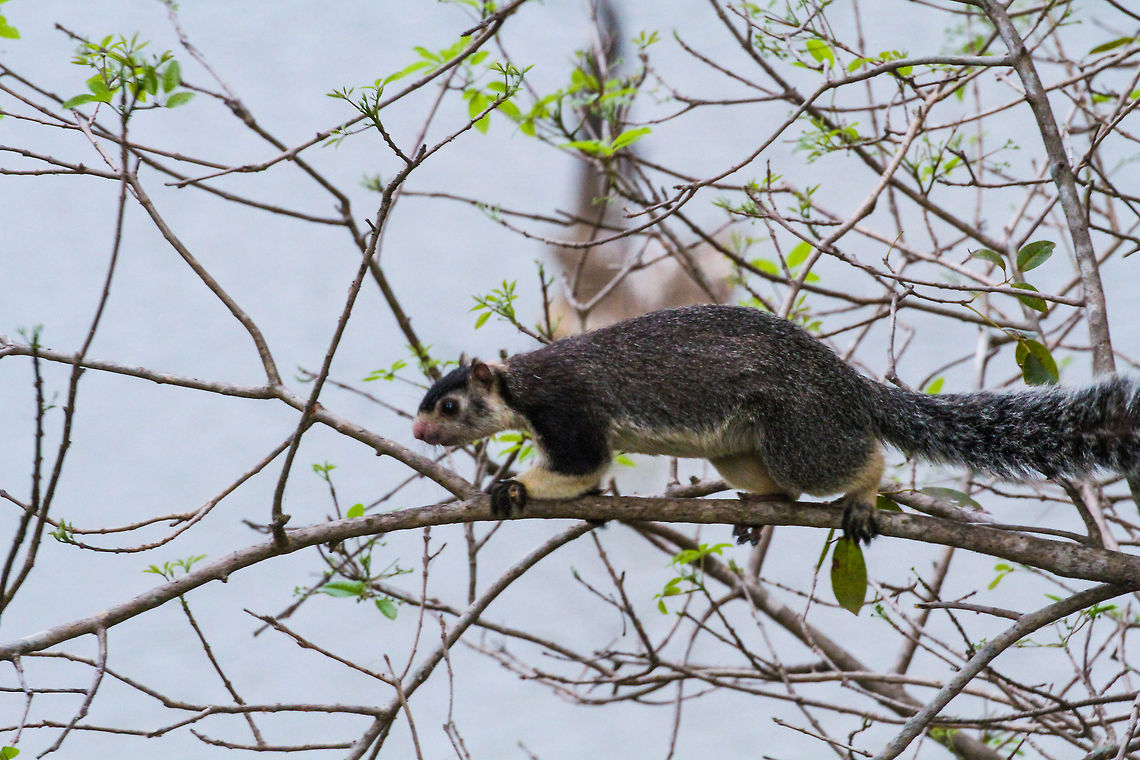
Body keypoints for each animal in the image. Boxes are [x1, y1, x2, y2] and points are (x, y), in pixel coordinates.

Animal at [412, 304, 1140, 543]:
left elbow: (582, 468)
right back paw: (756, 505)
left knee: (852, 462)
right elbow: (587, 480)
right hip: (737, 444)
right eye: (426, 403)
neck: (523, 386)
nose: (418, 434)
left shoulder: (570, 411)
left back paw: (863, 496)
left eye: (449, 406)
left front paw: (513, 487)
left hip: (802, 430)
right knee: (780, 485)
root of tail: (851, 385)